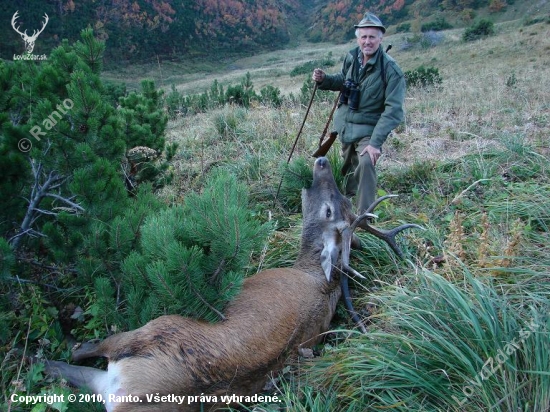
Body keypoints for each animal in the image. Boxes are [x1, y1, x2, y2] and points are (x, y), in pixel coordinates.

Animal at [46, 157, 418, 412]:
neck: (314, 276)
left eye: (328, 211)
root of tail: (133, 395)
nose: (323, 161)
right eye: (338, 201)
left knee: (79, 352)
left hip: (149, 331)